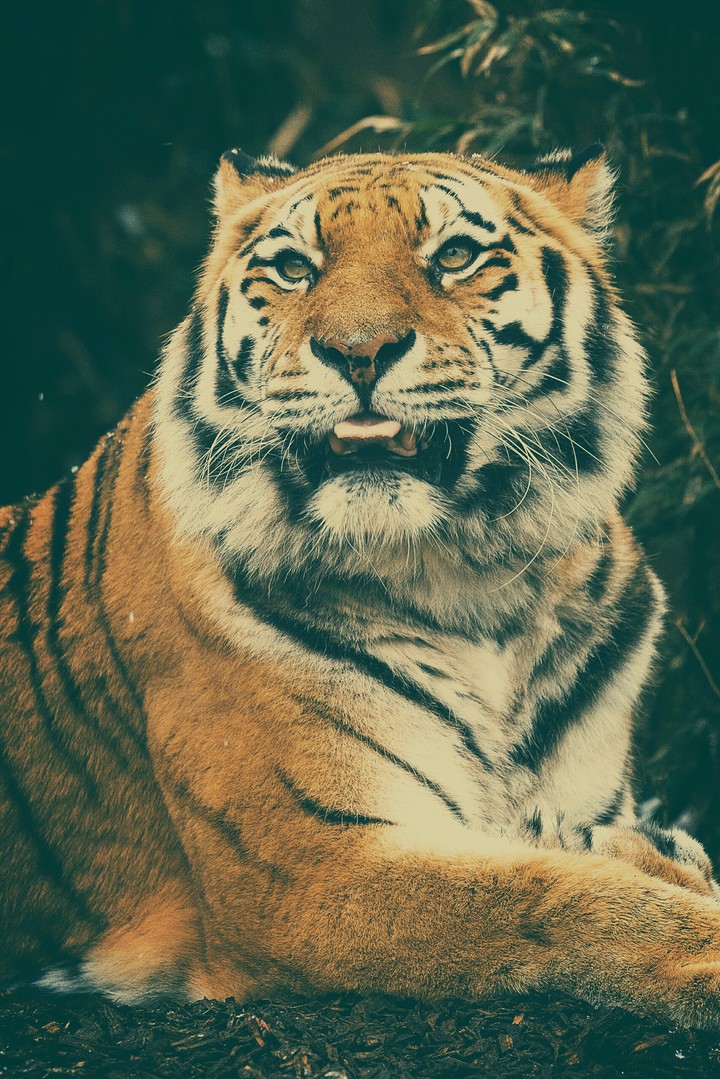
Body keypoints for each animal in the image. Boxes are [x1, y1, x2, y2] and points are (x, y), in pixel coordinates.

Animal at [1, 145, 719, 1028]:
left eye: (455, 256)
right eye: (293, 267)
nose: (358, 350)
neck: (467, 578)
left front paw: (658, 850)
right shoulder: (313, 867)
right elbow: (555, 894)